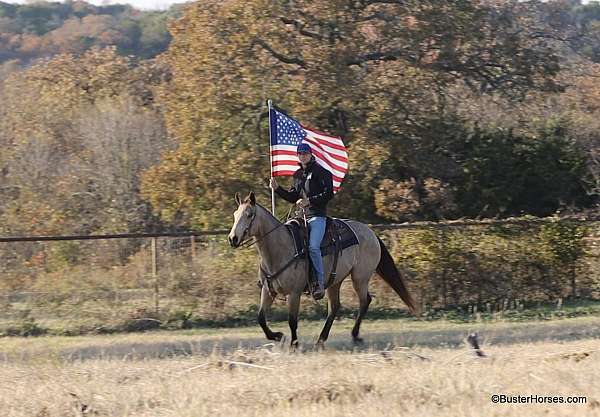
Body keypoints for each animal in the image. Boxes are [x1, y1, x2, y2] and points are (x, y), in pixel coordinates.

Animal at [227, 192, 420, 348]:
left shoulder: (294, 293)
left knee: (365, 301)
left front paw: (294, 344)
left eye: (249, 215)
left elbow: (292, 321)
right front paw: (277, 336)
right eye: (235, 214)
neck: (281, 249)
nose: (232, 238)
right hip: (335, 281)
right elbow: (260, 318)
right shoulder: (268, 291)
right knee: (334, 307)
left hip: (360, 278)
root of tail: (370, 232)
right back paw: (321, 339)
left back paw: (354, 335)